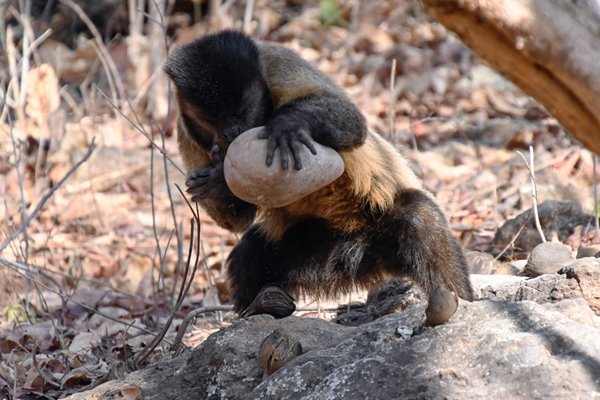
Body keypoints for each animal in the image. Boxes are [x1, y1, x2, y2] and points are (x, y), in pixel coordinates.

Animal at [164, 29, 474, 318]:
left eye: (243, 110)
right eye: (211, 120)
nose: (233, 131)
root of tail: (361, 248)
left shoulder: (276, 61)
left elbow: (352, 121)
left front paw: (288, 125)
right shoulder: (184, 130)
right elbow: (239, 221)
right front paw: (219, 184)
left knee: (418, 217)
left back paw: (452, 300)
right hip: (325, 253)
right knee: (251, 252)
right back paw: (261, 306)